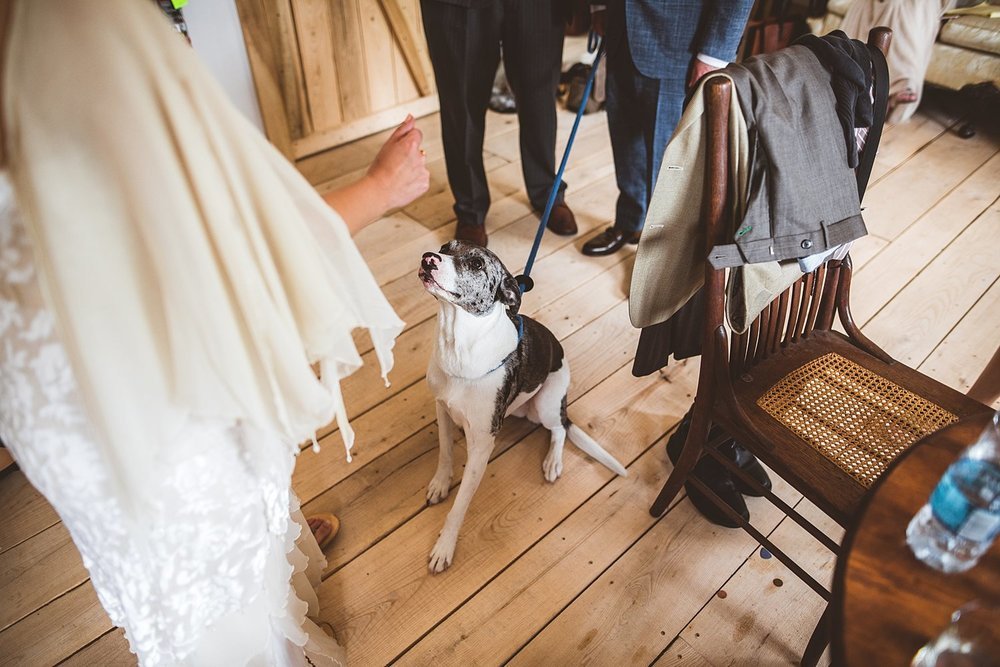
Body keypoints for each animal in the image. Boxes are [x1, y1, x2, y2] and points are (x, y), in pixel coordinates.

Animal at [416, 241, 624, 576]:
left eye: (477, 264)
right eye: (446, 247)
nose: (428, 258)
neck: (458, 346)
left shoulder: (482, 446)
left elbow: (459, 506)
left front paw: (444, 546)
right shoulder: (441, 407)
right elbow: (445, 452)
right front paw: (440, 484)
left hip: (546, 405)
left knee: (560, 430)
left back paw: (553, 462)